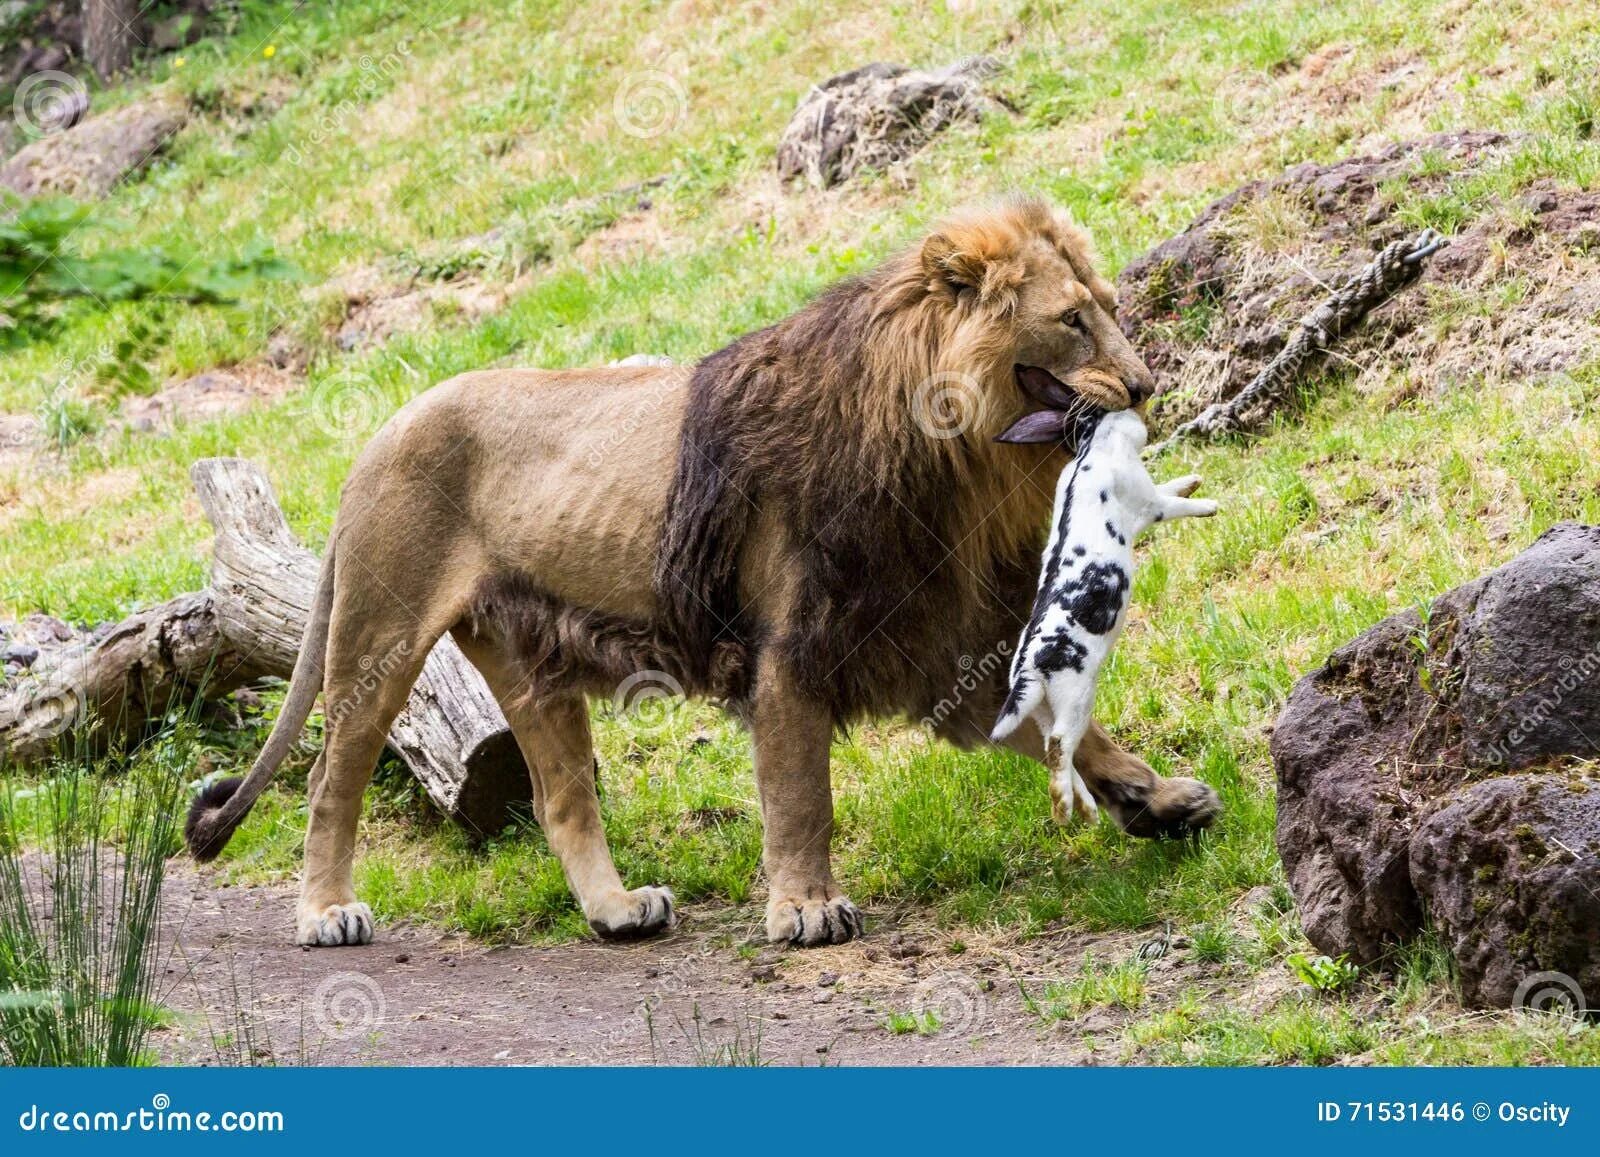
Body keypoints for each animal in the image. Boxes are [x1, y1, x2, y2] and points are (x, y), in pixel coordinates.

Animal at [184, 199, 1209, 947]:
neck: (957, 464)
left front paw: (1158, 799)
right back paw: (326, 912)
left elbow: (1072, 732)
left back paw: (616, 911)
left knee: (561, 799)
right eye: (1072, 321)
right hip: (379, 636)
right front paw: (805, 907)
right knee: (332, 779)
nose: (1147, 385)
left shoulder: (937, 646)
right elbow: (800, 794)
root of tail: (377, 434)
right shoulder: (791, 648)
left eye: (1112, 310)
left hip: (531, 661)